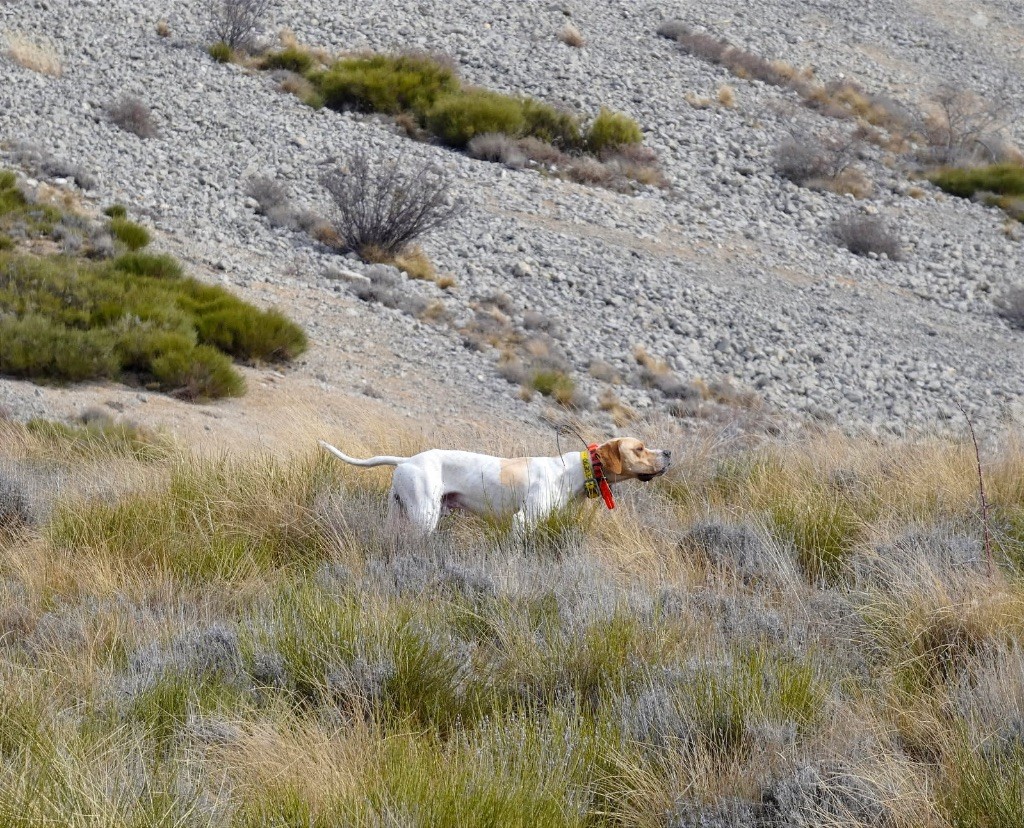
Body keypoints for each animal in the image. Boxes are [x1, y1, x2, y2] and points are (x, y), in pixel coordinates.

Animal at [319, 436, 671, 532]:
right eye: (640, 448)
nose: (668, 453)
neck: (572, 471)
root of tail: (407, 460)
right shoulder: (523, 521)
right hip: (424, 517)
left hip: (399, 513)